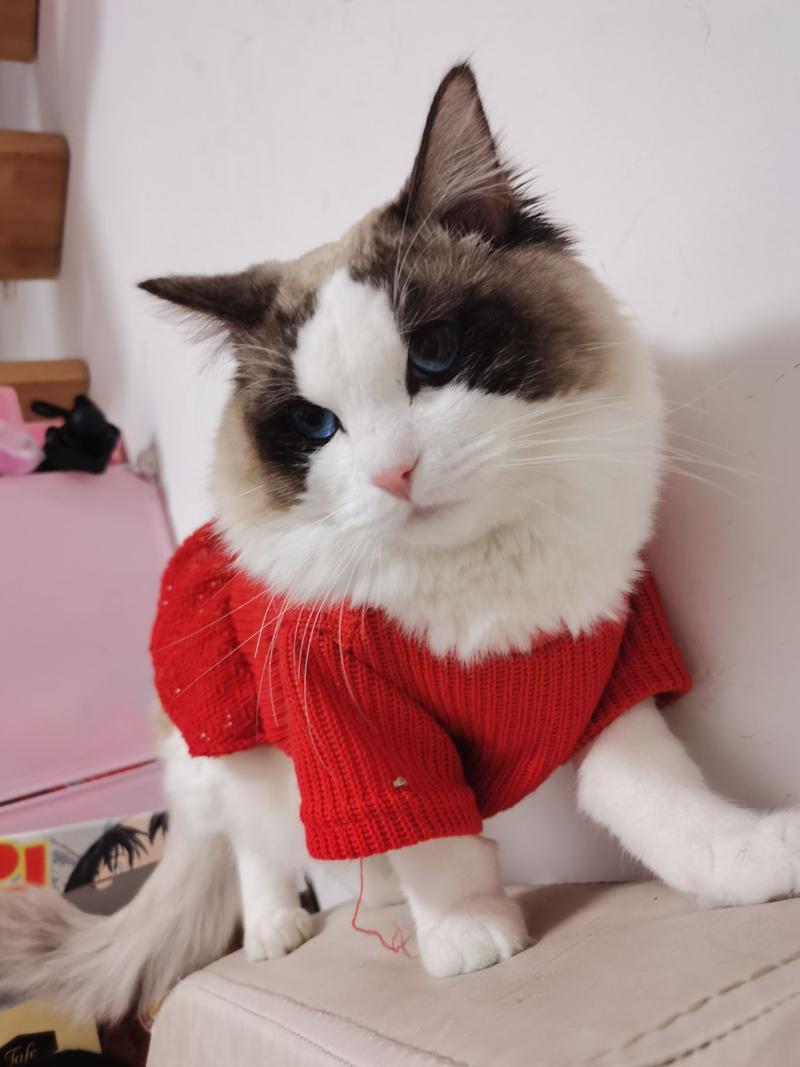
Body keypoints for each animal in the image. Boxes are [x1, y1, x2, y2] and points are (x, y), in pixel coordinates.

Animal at [2, 63, 799, 1027]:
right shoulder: (358, 728)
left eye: (436, 355)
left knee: (342, 855)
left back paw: (374, 907)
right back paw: (281, 929)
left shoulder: (609, 667)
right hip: (235, 753)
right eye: (316, 424)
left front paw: (747, 862)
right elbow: (436, 842)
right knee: (263, 844)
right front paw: (470, 937)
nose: (395, 472)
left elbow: (660, 800)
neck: (482, 591)